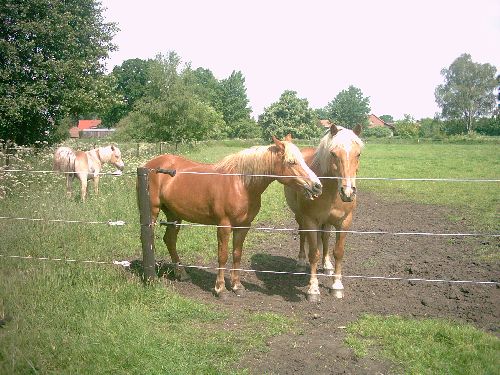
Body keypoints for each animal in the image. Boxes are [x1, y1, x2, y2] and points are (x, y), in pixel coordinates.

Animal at [142, 137, 320, 298]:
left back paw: (182, 274)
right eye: (291, 162)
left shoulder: (243, 226)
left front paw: (237, 286)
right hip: (153, 211)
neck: (241, 184)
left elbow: (237, 254)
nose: (317, 186)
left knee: (170, 240)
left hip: (174, 215)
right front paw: (220, 289)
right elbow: (223, 256)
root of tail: (147, 166)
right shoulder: (224, 225)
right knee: (149, 238)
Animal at [286, 125, 364, 304]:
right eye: (333, 154)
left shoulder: (344, 222)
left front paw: (337, 285)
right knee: (302, 236)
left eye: (358, 154)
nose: (348, 192)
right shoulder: (310, 220)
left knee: (326, 238)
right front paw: (313, 290)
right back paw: (301, 261)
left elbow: (338, 252)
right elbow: (314, 254)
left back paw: (327, 265)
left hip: (327, 222)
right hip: (300, 217)